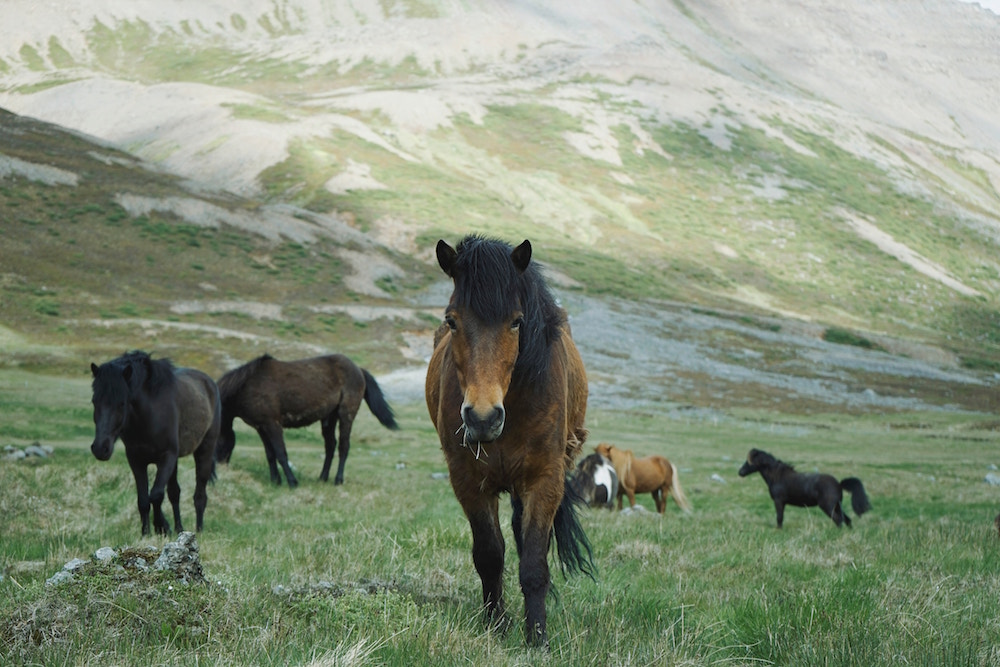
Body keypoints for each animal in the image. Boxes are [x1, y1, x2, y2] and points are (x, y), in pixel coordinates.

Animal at [90, 351, 221, 536]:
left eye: (122, 403)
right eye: (94, 401)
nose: (101, 448)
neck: (149, 415)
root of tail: (209, 382)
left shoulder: (166, 457)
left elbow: (156, 495)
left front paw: (161, 526)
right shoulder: (136, 460)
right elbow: (144, 499)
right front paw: (146, 533)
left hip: (204, 451)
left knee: (200, 495)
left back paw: (199, 529)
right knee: (174, 493)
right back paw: (179, 528)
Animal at [215, 354, 398, 487]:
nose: (219, 467)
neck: (247, 386)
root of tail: (358, 369)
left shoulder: (273, 424)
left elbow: (281, 453)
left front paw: (292, 482)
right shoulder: (261, 427)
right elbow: (270, 454)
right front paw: (275, 481)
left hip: (346, 415)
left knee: (343, 447)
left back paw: (338, 480)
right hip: (329, 418)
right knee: (330, 446)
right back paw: (322, 478)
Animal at [425, 235, 594, 648]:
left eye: (517, 321)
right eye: (452, 320)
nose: (483, 418)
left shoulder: (544, 480)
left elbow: (533, 560)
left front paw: (537, 637)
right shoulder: (469, 482)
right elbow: (489, 555)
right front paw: (496, 625)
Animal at [738, 448, 871, 528]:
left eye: (749, 462)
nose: (740, 472)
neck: (777, 476)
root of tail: (839, 484)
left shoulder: (779, 501)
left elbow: (779, 518)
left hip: (828, 507)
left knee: (839, 520)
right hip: (837, 506)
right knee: (847, 520)